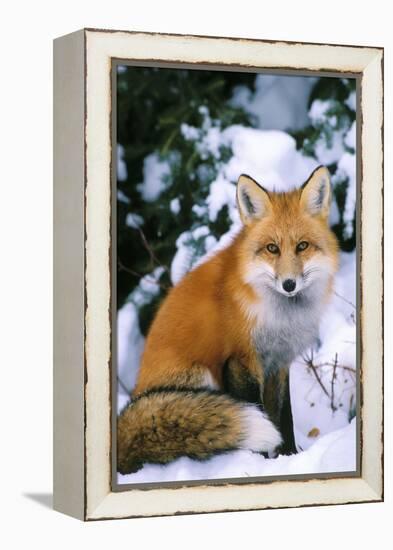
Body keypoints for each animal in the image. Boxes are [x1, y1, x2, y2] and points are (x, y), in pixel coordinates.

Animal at [116, 166, 336, 476]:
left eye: (302, 246)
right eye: (272, 248)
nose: (289, 284)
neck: (279, 316)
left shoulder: (278, 363)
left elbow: (284, 417)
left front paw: (289, 457)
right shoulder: (240, 361)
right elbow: (259, 409)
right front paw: (259, 463)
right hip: (201, 377)